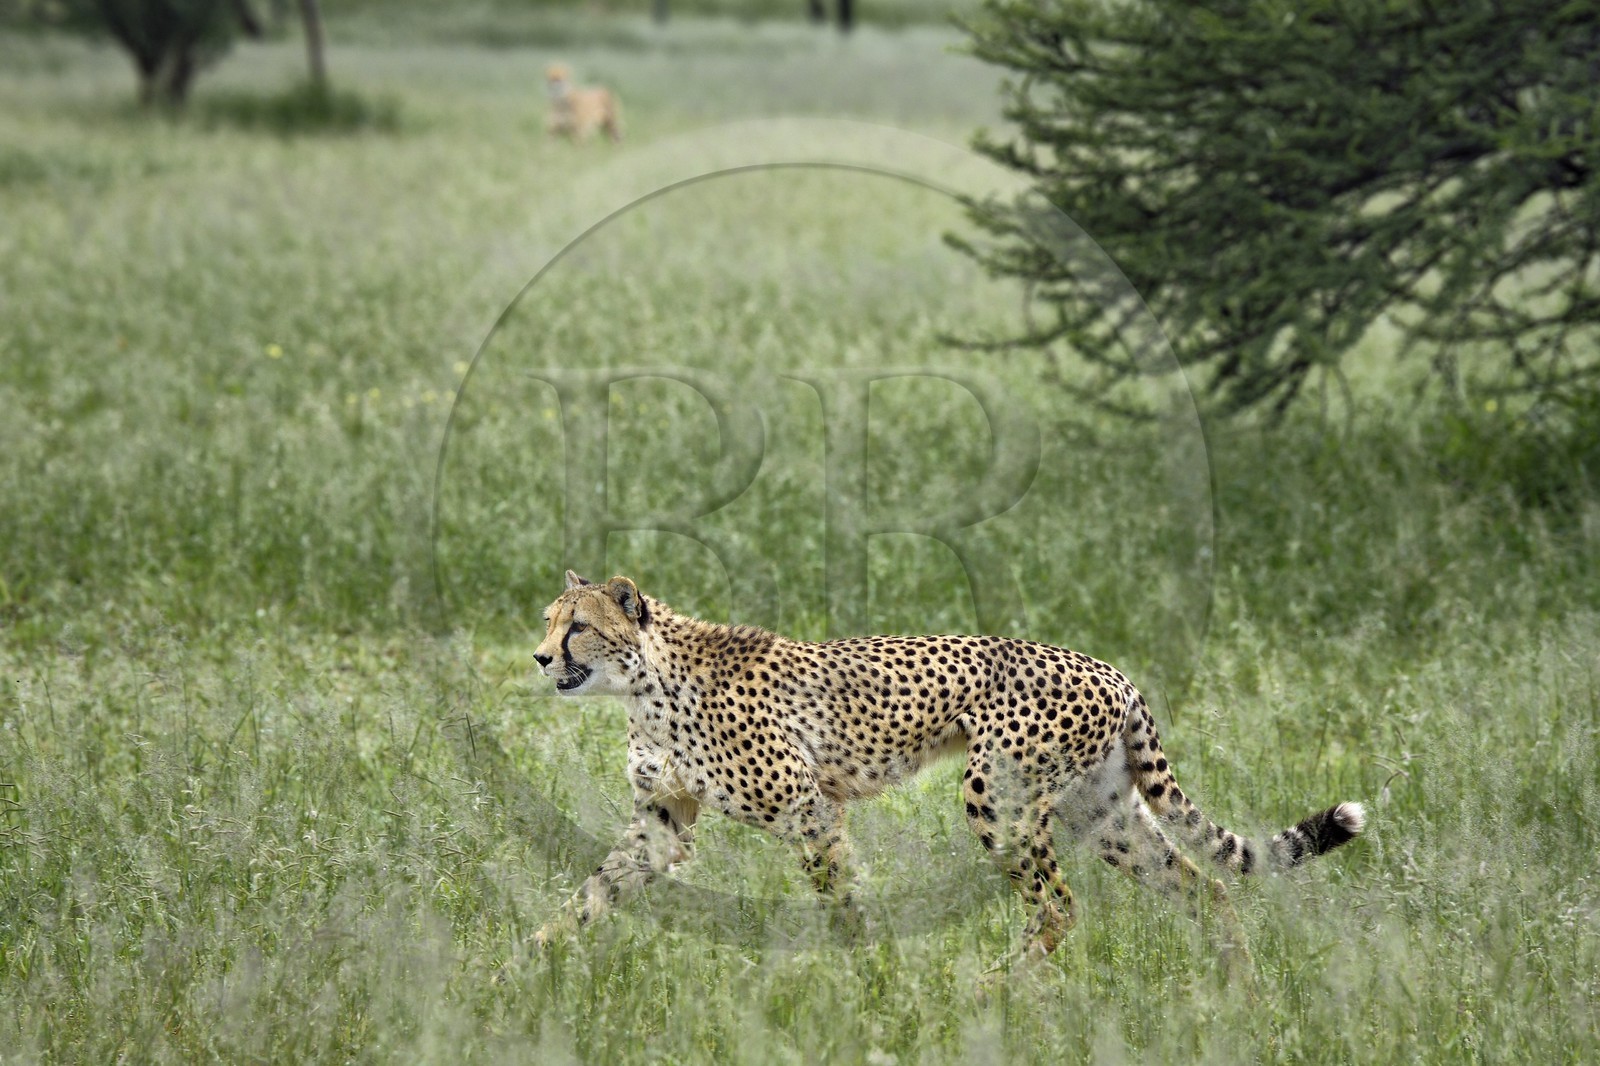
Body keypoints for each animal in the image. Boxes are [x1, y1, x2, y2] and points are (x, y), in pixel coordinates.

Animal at [530, 572, 1364, 969]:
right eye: (547, 620)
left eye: (578, 627)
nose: (538, 658)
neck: (645, 685)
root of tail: (1111, 669)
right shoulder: (663, 823)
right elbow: (590, 892)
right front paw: (528, 963)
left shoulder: (809, 808)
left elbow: (843, 904)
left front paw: (868, 983)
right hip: (1104, 812)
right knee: (1205, 889)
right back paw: (1238, 1000)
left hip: (999, 798)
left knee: (1059, 908)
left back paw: (997, 990)